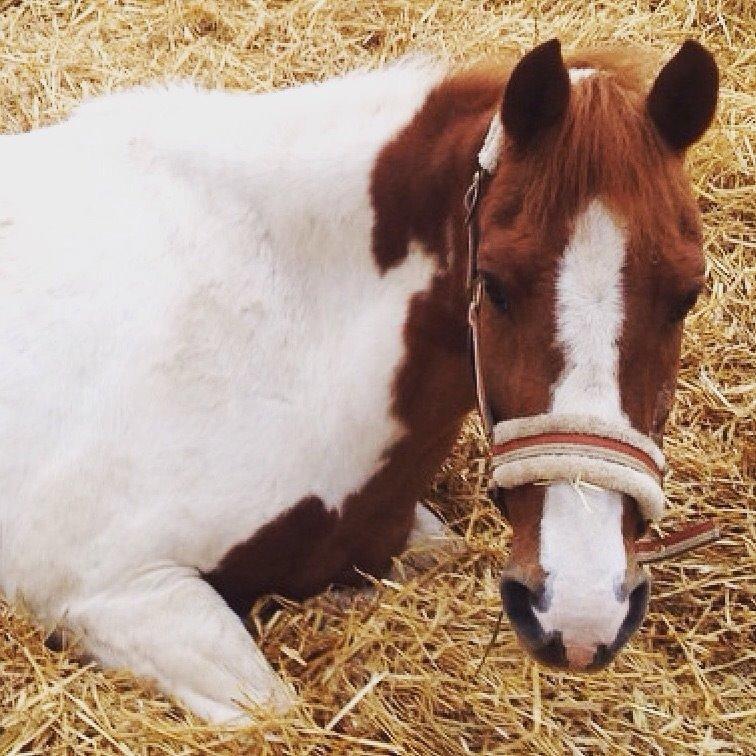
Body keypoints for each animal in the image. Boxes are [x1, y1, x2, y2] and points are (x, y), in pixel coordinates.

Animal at [0, 37, 716, 720]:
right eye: (494, 283)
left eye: (688, 293)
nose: (584, 607)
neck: (284, 316)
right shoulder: (115, 591)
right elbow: (277, 712)